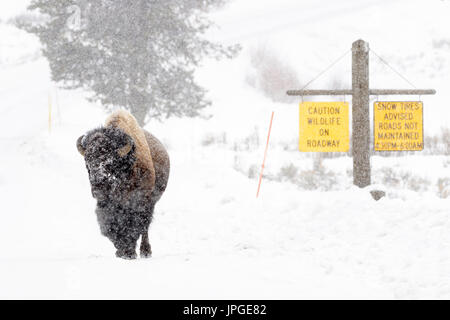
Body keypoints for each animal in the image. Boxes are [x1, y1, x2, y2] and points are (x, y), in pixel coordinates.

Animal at [76, 109, 170, 258]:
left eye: (110, 162)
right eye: (87, 163)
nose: (98, 189)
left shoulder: (139, 202)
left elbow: (134, 225)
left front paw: (129, 252)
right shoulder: (107, 206)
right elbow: (110, 226)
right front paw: (121, 251)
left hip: (152, 202)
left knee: (145, 227)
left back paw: (145, 251)